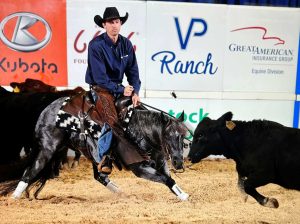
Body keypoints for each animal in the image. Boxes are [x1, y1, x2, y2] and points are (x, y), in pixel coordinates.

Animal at [2, 92, 189, 200]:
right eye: (169, 136)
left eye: (183, 137)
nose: (179, 162)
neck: (139, 129)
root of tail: (46, 111)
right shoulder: (139, 168)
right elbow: (165, 179)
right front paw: (184, 196)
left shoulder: (161, 163)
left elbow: (169, 179)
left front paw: (182, 194)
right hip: (47, 150)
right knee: (30, 171)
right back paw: (15, 197)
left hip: (86, 152)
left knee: (99, 176)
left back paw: (120, 192)